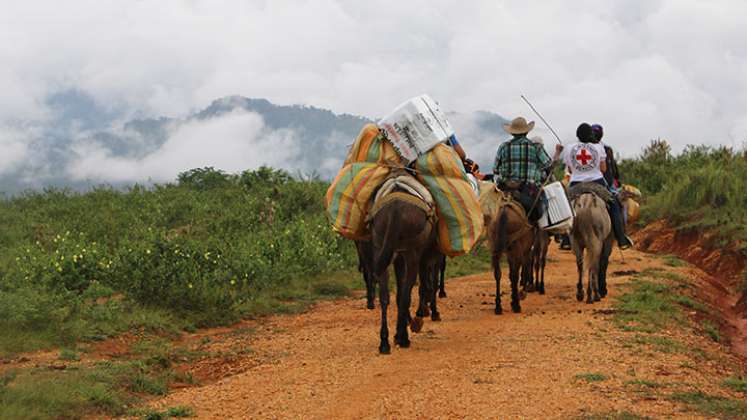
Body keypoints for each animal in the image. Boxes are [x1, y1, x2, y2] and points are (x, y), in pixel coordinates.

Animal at [372, 182, 442, 352]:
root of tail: (395, 207)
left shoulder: (399, 257)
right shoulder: (431, 256)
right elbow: (428, 285)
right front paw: (426, 314)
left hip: (380, 247)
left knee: (385, 296)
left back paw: (384, 342)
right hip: (412, 255)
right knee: (407, 295)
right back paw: (404, 337)